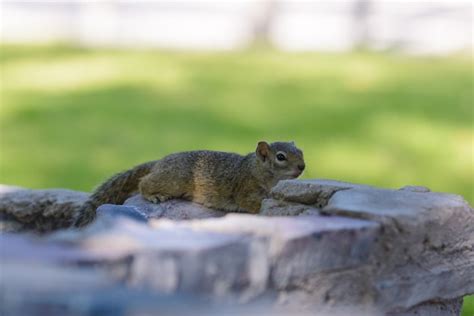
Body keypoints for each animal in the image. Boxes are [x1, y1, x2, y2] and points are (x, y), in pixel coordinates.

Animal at [74, 141, 304, 227]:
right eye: (281, 157)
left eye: (300, 151)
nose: (302, 166)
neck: (256, 169)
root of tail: (160, 162)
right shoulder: (245, 190)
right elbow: (252, 203)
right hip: (173, 181)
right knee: (144, 183)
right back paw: (153, 195)